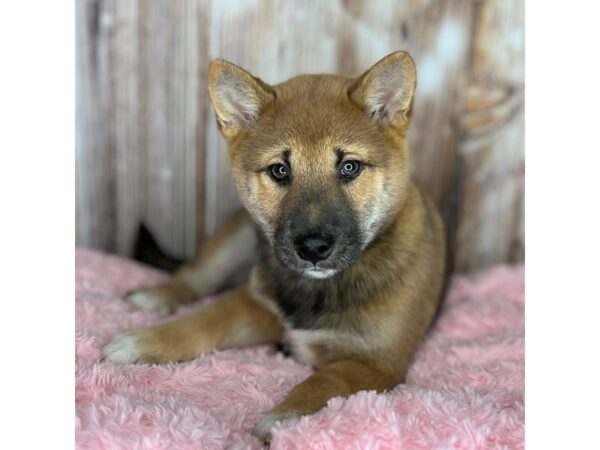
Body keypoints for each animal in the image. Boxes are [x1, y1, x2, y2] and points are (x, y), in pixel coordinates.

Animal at [103, 51, 446, 442]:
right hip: (233, 240)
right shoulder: (257, 304)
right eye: (280, 170)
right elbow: (203, 319)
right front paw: (144, 341)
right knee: (194, 276)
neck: (319, 288)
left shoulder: (375, 363)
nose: (313, 248)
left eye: (349, 167)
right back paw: (158, 296)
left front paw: (284, 418)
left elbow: (325, 382)